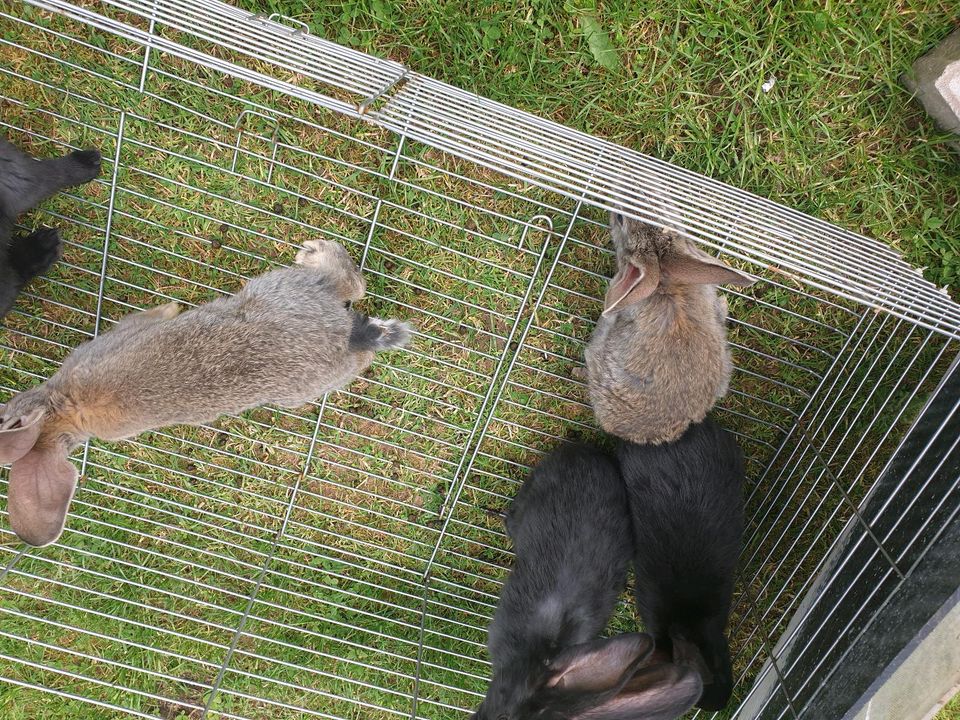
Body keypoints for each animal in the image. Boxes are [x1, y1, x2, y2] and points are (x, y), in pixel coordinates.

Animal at [0, 239, 408, 548]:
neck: (66, 408)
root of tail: (348, 335)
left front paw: (168, 307)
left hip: (278, 288)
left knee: (346, 282)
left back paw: (313, 251)